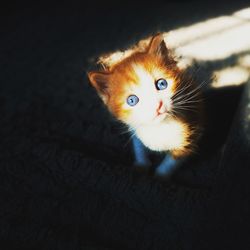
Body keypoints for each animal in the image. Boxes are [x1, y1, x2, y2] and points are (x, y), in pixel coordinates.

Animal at [87, 33, 203, 176]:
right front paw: (141, 167)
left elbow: (171, 163)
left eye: (162, 84)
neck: (159, 127)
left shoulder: (190, 138)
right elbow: (139, 147)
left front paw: (159, 176)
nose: (158, 105)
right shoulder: (134, 128)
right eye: (132, 100)